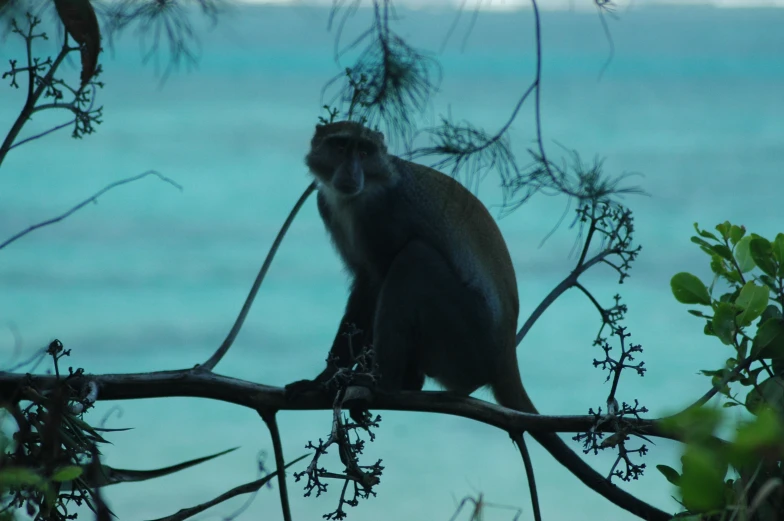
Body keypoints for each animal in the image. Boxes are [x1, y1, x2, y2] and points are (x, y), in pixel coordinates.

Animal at [284, 121, 672, 520]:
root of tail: (504, 355)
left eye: (364, 152)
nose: (352, 171)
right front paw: (324, 378)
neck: (357, 198)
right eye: (341, 147)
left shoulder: (382, 217)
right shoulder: (327, 205)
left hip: (464, 341)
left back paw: (384, 386)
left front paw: (335, 379)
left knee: (413, 258)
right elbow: (362, 284)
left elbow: (377, 280)